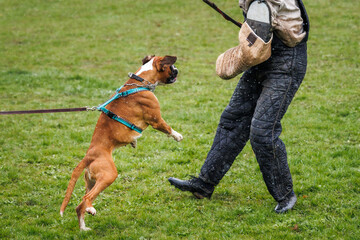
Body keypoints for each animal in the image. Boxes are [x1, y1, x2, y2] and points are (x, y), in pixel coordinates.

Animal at [60, 54, 183, 231]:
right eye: (171, 67)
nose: (177, 70)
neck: (140, 82)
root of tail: (90, 154)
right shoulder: (156, 119)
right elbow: (167, 128)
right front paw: (177, 136)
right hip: (108, 175)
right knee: (86, 198)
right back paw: (91, 209)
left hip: (92, 180)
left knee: (79, 205)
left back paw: (83, 228)